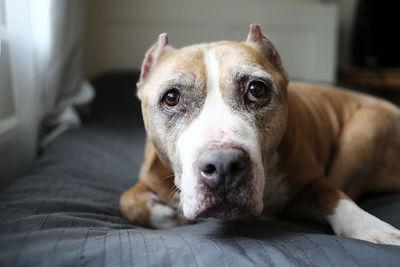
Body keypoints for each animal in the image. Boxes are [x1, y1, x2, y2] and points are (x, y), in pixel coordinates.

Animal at [119, 24, 400, 246]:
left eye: (256, 89)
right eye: (171, 97)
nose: (224, 165)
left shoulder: (313, 180)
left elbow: (335, 197)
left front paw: (371, 228)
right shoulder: (149, 177)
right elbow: (127, 201)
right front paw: (169, 216)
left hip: (365, 125)